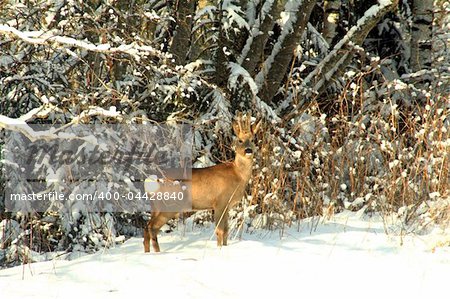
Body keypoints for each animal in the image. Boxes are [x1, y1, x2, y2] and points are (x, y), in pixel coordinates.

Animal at [144, 112, 260, 253]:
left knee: (146, 227)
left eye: (253, 140)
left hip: (156, 206)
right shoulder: (219, 202)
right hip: (170, 205)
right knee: (152, 227)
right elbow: (220, 231)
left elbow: (226, 231)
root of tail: (151, 181)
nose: (248, 150)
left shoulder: (227, 206)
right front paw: (219, 249)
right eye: (240, 140)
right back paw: (157, 253)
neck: (237, 175)